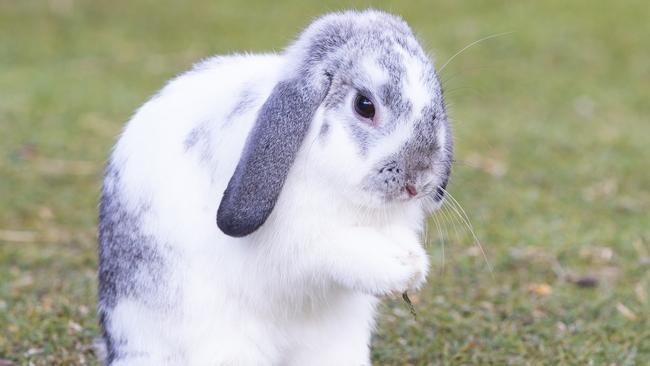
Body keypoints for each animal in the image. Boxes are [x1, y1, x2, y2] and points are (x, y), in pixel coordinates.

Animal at [97, 9, 450, 366]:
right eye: (365, 105)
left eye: (438, 105)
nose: (418, 181)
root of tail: (130, 347)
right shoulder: (304, 242)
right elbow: (339, 248)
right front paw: (402, 270)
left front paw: (414, 263)